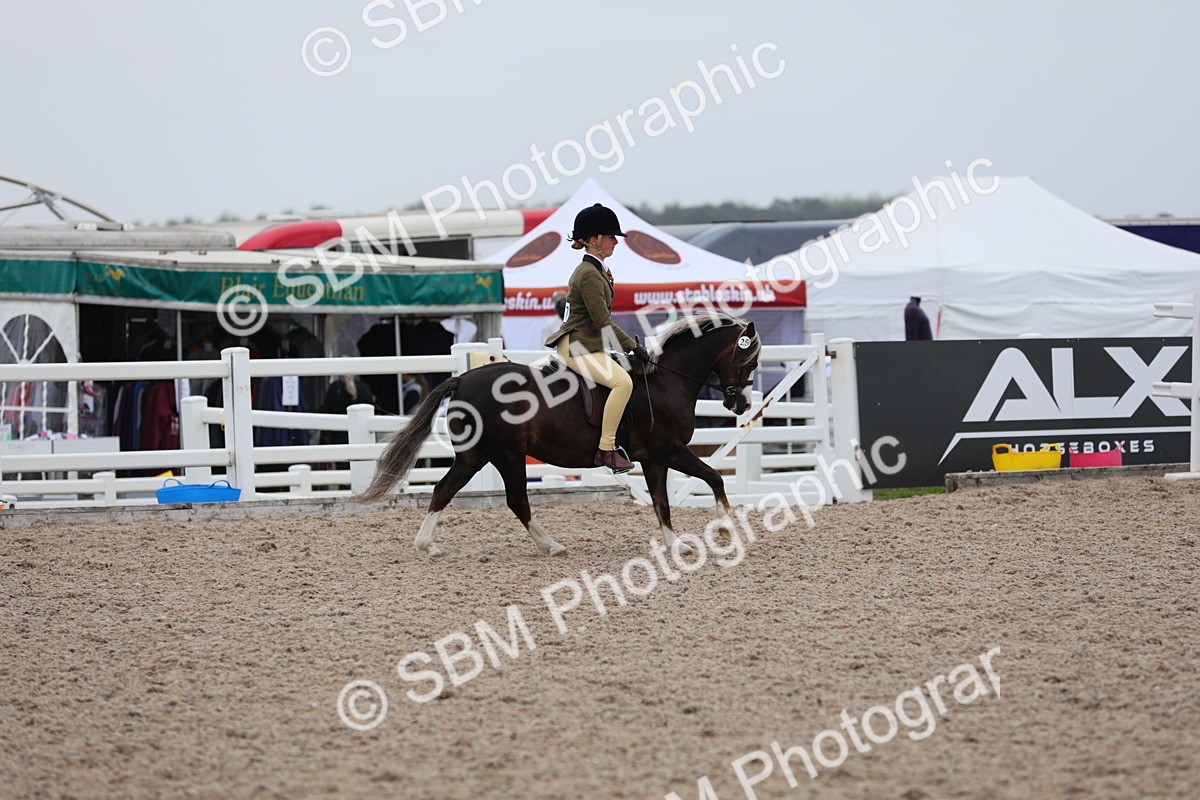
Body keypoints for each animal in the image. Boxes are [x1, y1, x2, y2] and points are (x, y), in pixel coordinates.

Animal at [356, 312, 761, 557]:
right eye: (750, 361)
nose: (741, 404)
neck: (667, 380)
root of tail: (463, 379)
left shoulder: (654, 459)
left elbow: (662, 503)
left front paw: (675, 545)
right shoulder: (670, 450)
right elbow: (713, 479)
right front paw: (726, 528)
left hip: (476, 456)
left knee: (444, 489)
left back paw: (427, 545)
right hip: (506, 455)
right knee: (515, 500)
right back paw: (551, 546)